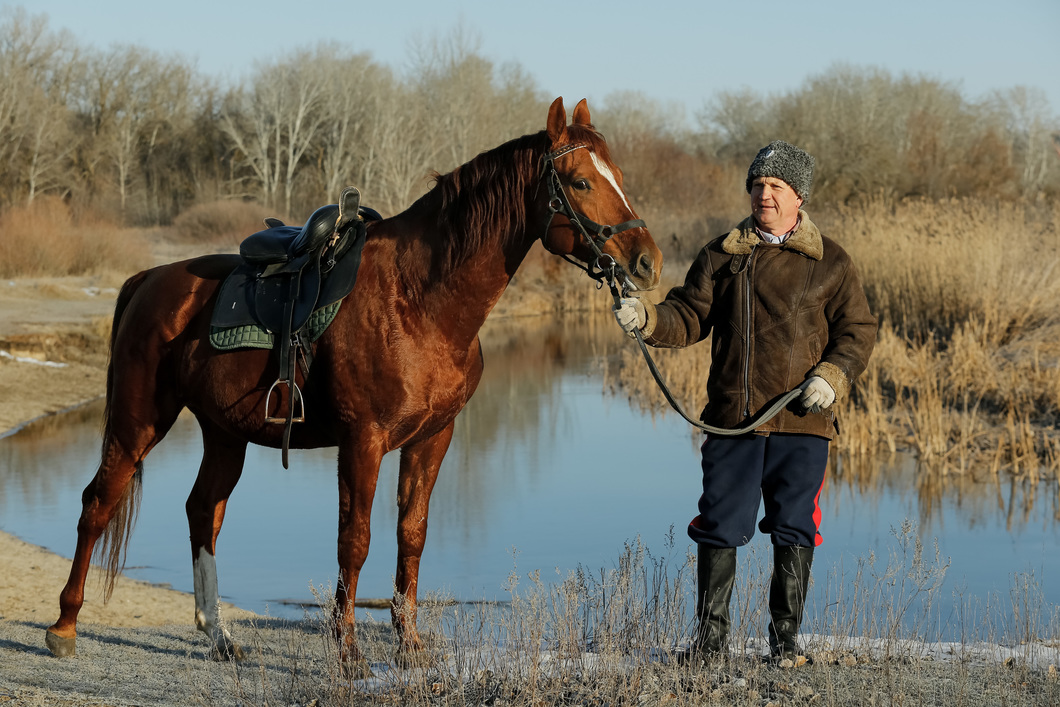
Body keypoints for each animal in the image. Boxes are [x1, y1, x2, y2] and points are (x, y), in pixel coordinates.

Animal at [49, 96, 665, 674]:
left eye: (619, 176)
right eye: (581, 181)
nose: (648, 262)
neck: (420, 300)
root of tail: (150, 280)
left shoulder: (432, 439)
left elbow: (411, 536)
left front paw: (410, 647)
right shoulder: (363, 442)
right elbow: (356, 539)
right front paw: (348, 654)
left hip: (225, 434)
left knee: (204, 511)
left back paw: (219, 636)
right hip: (138, 424)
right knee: (97, 503)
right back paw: (64, 627)